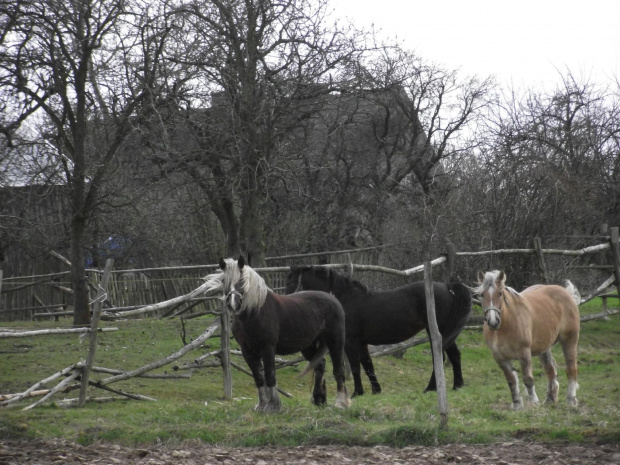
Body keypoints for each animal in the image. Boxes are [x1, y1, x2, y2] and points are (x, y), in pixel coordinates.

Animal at [206, 256, 352, 412]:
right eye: (223, 281)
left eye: (241, 281)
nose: (233, 305)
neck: (255, 312)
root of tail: (333, 298)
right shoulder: (247, 351)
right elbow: (258, 377)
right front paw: (261, 405)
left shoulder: (268, 348)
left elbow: (270, 374)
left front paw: (273, 405)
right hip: (308, 345)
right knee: (320, 365)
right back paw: (319, 399)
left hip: (335, 341)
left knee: (338, 369)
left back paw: (340, 403)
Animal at [288, 264, 472, 396]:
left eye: (292, 281)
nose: (289, 301)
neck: (346, 299)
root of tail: (447, 286)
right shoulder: (362, 343)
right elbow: (368, 366)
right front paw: (376, 391)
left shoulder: (351, 343)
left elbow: (355, 367)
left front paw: (357, 393)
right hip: (446, 332)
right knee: (454, 355)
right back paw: (457, 386)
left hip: (438, 331)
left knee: (440, 358)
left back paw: (431, 388)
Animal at [474, 270, 580, 408]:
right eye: (481, 294)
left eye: (500, 293)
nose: (493, 322)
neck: (504, 326)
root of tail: (566, 293)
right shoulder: (500, 358)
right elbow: (511, 380)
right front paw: (517, 405)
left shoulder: (524, 353)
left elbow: (528, 379)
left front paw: (533, 401)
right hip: (544, 347)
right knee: (550, 370)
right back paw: (550, 399)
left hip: (570, 340)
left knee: (571, 368)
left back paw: (571, 400)